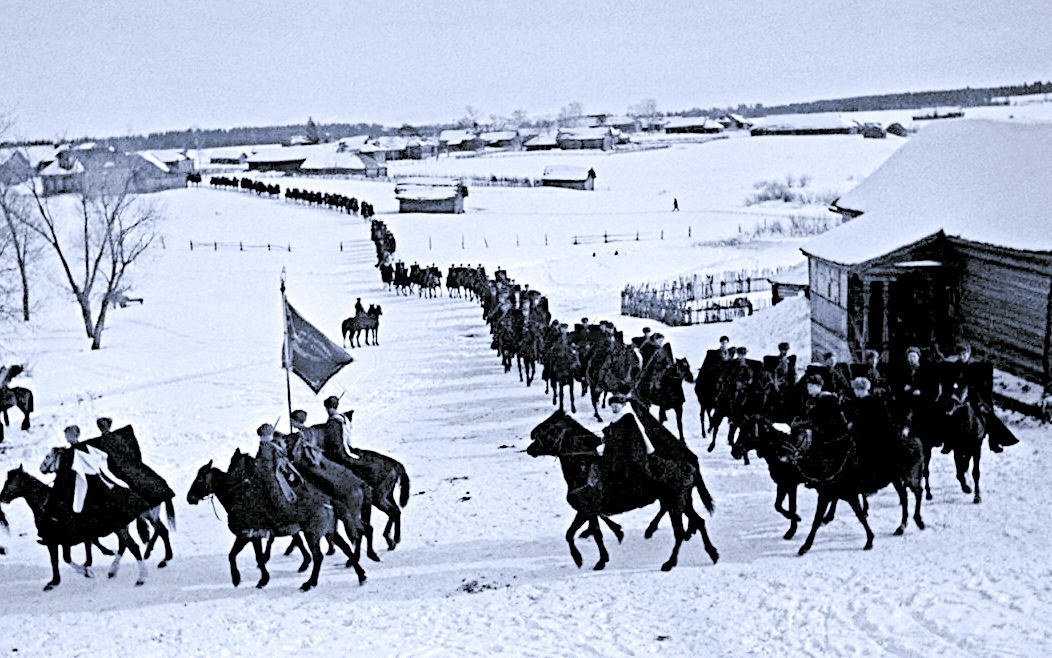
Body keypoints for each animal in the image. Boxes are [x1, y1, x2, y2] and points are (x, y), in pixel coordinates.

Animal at [1, 461, 148, 589]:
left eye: (9, 482)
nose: (2, 498)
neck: (47, 507)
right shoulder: (58, 541)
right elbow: (59, 560)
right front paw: (55, 581)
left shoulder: (61, 540)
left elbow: (64, 559)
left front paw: (85, 573)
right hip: (120, 528)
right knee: (125, 545)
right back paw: (114, 571)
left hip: (118, 527)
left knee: (133, 547)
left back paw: (140, 578)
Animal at [187, 450, 368, 589]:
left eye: (200, 478)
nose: (190, 498)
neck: (237, 498)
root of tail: (329, 500)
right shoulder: (256, 536)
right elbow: (257, 556)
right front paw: (262, 579)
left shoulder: (246, 535)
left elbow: (236, 556)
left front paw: (239, 579)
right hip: (329, 531)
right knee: (346, 547)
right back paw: (361, 575)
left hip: (312, 534)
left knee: (319, 556)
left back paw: (309, 583)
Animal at [530, 410, 719, 568]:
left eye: (547, 429)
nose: (529, 448)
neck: (582, 469)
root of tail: (688, 466)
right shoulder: (587, 511)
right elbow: (575, 533)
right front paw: (596, 552)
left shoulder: (587, 511)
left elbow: (590, 534)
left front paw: (592, 560)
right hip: (682, 503)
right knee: (699, 522)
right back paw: (713, 553)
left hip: (676, 504)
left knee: (679, 532)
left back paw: (669, 562)